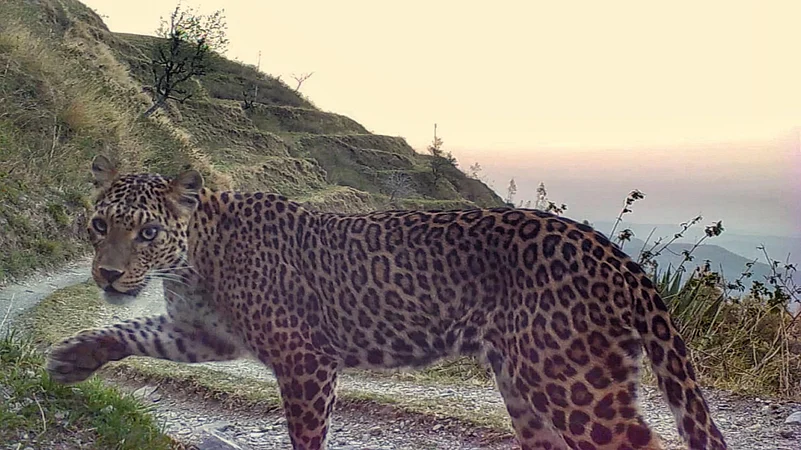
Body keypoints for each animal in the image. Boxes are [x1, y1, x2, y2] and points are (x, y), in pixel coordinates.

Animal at [45, 155, 727, 450]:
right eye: (99, 224)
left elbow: (307, 437)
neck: (192, 263)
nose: (107, 275)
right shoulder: (202, 335)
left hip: (576, 385)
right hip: (529, 388)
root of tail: (614, 254)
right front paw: (73, 359)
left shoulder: (305, 360)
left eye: (148, 233)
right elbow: (136, 332)